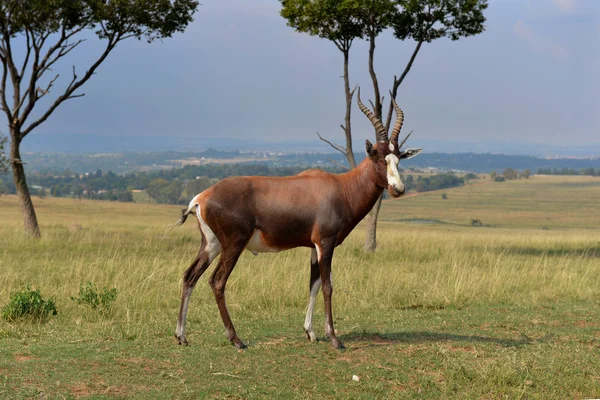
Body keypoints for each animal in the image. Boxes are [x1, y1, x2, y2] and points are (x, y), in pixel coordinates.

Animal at [171, 91, 420, 350]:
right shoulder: (326, 244)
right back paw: (236, 339)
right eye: (380, 158)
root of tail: (202, 197)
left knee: (190, 276)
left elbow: (313, 284)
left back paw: (182, 336)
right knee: (217, 281)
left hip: (211, 244)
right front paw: (334, 338)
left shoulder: (313, 247)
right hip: (233, 244)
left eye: (398, 159)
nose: (398, 189)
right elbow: (328, 286)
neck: (340, 187)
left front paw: (310, 332)